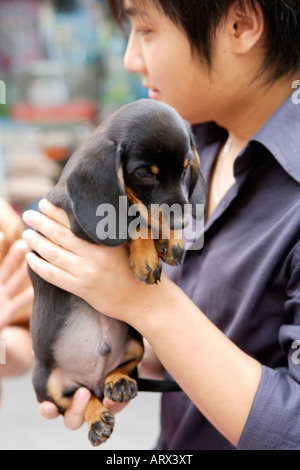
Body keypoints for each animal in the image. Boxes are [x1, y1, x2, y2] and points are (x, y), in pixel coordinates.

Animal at [29, 98, 207, 444]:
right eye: (144, 173)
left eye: (184, 169)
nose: (182, 223)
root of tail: (94, 380)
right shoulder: (76, 221)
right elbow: (133, 215)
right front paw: (147, 255)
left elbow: (146, 214)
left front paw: (170, 241)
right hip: (45, 381)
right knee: (78, 397)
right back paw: (97, 417)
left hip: (136, 341)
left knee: (120, 371)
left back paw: (118, 382)